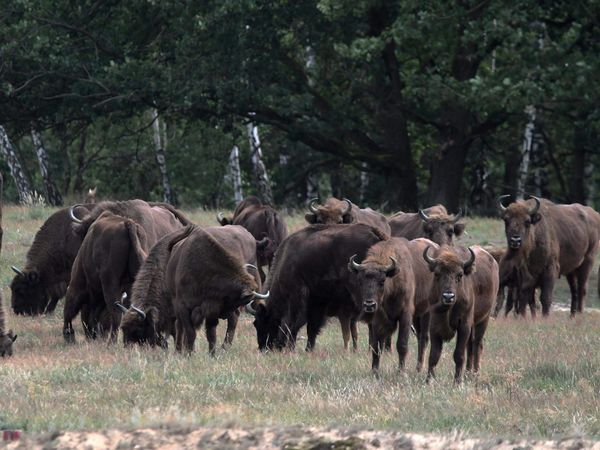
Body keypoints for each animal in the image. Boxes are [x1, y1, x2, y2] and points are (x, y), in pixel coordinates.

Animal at [62, 213, 150, 342]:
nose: (91, 336)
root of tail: (129, 224)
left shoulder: (77, 283)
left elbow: (69, 308)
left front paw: (69, 335)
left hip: (110, 283)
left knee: (116, 314)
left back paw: (111, 342)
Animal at [119, 225, 264, 356]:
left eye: (138, 328)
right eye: (123, 328)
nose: (126, 348)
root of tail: (247, 234)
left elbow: (183, 331)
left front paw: (184, 352)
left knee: (233, 321)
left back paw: (224, 348)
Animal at [248, 223, 390, 354]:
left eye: (262, 321)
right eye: (255, 324)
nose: (263, 348)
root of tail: (376, 234)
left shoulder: (298, 296)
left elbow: (294, 324)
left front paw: (293, 348)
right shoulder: (318, 303)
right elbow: (312, 327)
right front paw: (308, 349)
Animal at [346, 237, 436, 374]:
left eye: (382, 281)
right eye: (360, 281)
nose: (369, 304)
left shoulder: (405, 315)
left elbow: (402, 344)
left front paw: (401, 372)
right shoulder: (379, 317)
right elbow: (376, 345)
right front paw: (374, 371)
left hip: (426, 312)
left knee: (424, 338)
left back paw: (419, 368)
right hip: (417, 316)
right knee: (420, 336)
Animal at [422, 243, 502, 384]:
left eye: (459, 275)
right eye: (437, 274)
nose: (448, 296)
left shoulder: (464, 326)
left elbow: (458, 354)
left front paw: (457, 382)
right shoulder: (434, 326)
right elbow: (434, 355)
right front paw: (428, 381)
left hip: (484, 319)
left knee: (477, 345)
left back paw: (475, 374)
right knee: (470, 347)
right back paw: (468, 374)